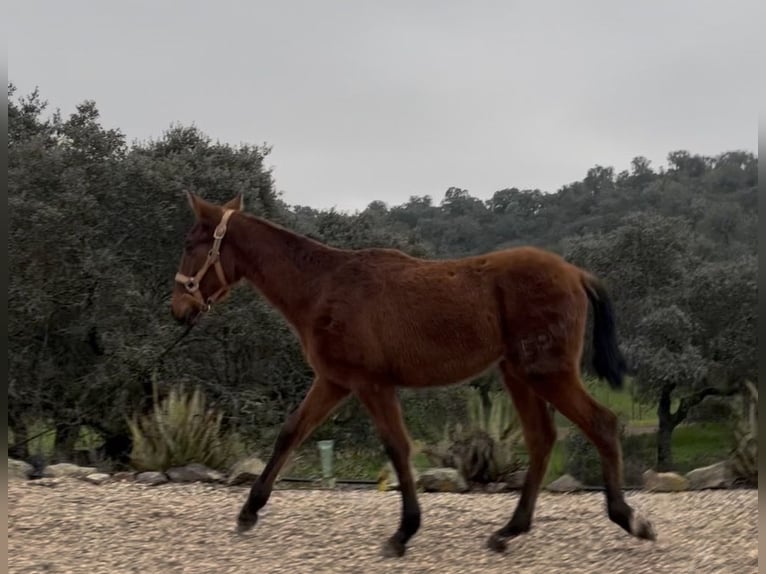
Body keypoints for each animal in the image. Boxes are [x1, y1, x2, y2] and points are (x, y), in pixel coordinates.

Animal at [170, 192, 656, 557]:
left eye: (192, 243)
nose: (178, 308)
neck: (325, 286)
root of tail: (574, 272)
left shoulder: (371, 384)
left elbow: (397, 447)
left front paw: (403, 533)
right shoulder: (335, 382)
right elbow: (291, 432)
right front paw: (248, 512)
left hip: (547, 372)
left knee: (601, 424)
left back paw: (629, 519)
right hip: (519, 375)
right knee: (542, 440)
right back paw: (508, 531)